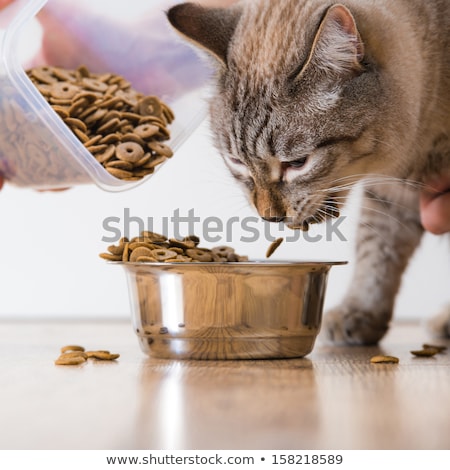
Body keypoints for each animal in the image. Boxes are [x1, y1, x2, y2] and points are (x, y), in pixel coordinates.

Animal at [168, 0, 450, 346]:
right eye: (236, 162)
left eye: (297, 163)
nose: (269, 217)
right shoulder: (389, 190)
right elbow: (376, 251)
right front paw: (359, 313)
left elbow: (377, 248)